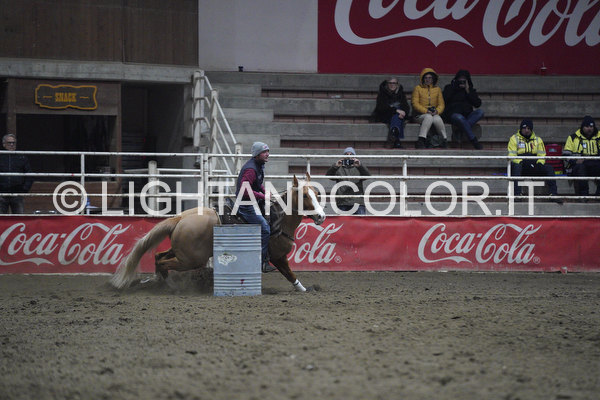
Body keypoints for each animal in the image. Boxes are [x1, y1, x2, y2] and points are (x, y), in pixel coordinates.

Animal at [110, 174, 326, 292]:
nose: (322, 216)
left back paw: (159, 283)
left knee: (158, 256)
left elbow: (290, 274)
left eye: (317, 193)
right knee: (163, 262)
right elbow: (290, 274)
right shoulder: (278, 257)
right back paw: (169, 286)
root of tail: (179, 218)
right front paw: (304, 289)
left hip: (180, 251)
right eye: (304, 195)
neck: (278, 218)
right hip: (190, 259)